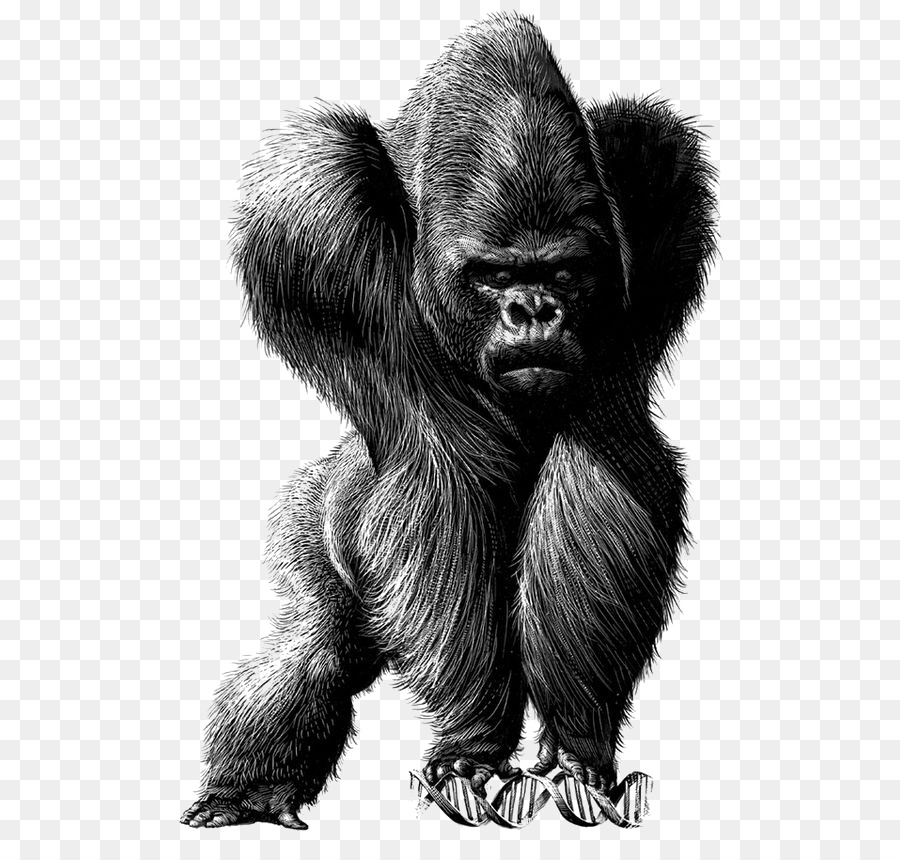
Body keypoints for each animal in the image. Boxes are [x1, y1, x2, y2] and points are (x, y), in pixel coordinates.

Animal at [181, 13, 716, 830]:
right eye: (493, 276)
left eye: (565, 273)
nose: (534, 311)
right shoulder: (308, 210)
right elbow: (438, 477)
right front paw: (473, 741)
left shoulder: (659, 178)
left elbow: (602, 469)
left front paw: (579, 747)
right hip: (307, 517)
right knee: (314, 645)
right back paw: (249, 788)